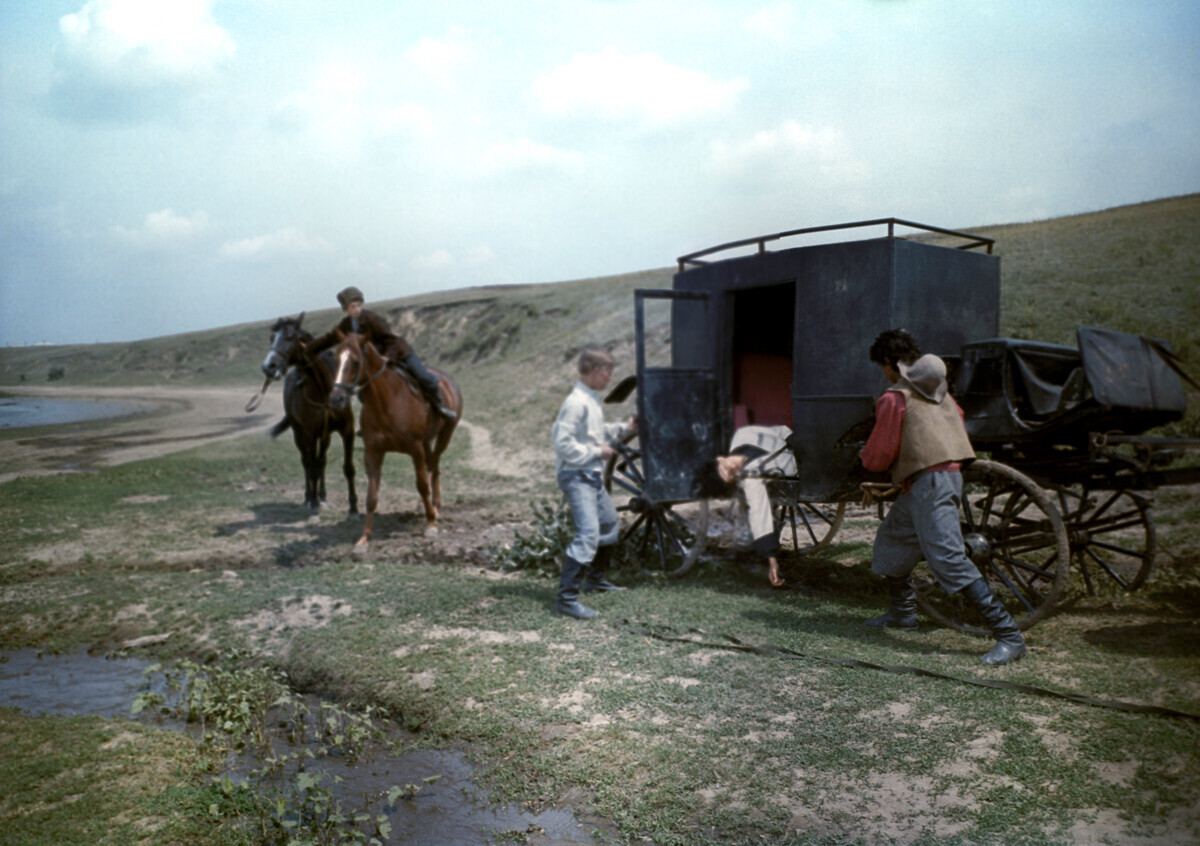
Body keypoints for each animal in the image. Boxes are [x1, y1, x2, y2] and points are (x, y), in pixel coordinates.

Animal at [261, 314, 357, 518]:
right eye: (272, 338)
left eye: (290, 336)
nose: (268, 367)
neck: (324, 391)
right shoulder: (309, 434)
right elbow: (311, 467)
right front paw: (313, 505)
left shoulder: (347, 430)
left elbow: (348, 468)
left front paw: (353, 508)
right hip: (299, 433)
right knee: (306, 462)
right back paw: (309, 498)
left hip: (325, 436)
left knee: (322, 462)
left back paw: (322, 496)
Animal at [328, 331, 463, 547]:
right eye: (335, 359)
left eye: (355, 361)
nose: (336, 399)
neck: (387, 402)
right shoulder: (373, 452)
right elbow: (371, 497)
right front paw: (364, 538)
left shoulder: (415, 449)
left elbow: (422, 485)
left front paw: (431, 524)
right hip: (427, 442)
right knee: (432, 466)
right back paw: (428, 506)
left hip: (445, 435)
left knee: (434, 467)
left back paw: (435, 507)